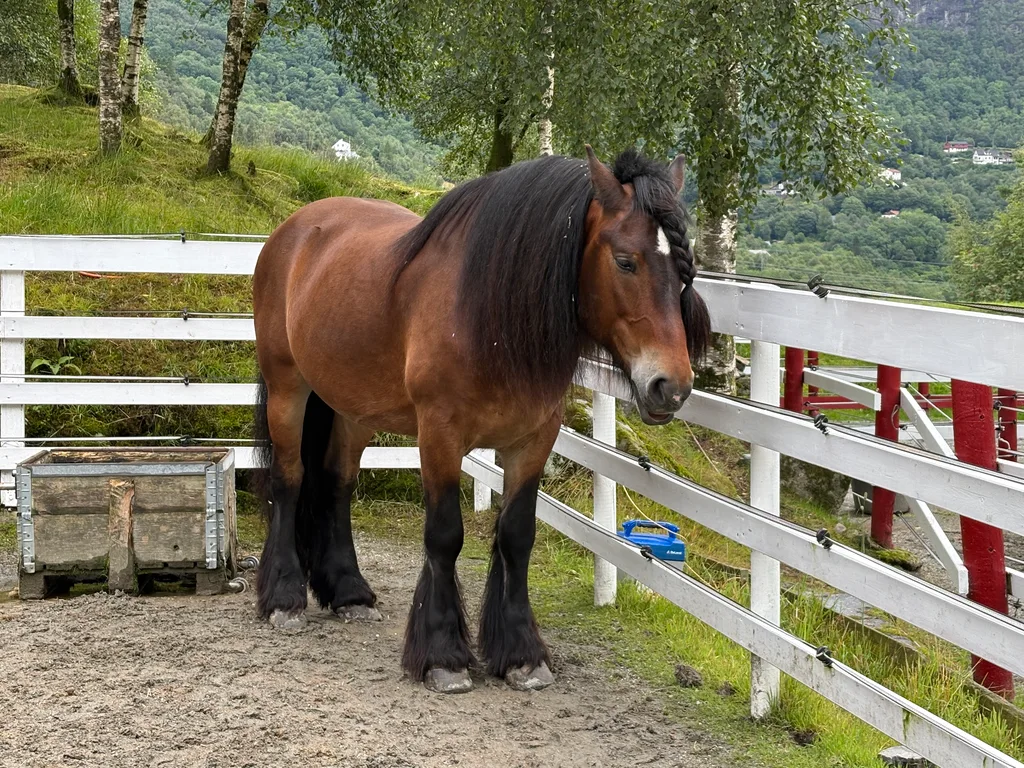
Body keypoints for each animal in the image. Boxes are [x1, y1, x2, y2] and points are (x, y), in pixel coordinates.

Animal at [250, 145, 711, 694]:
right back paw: (284, 598)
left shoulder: (532, 442)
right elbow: (445, 536)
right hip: (288, 388)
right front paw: (443, 655)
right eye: (626, 261)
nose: (672, 386)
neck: (485, 315)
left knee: (336, 484)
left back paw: (349, 593)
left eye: (685, 271)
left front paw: (521, 655)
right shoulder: (439, 436)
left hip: (352, 408)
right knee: (290, 479)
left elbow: (516, 537)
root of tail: (294, 228)